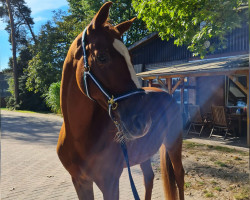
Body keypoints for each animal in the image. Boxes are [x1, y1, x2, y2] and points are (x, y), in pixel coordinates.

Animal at [57, 1, 185, 200]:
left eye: (130, 58)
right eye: (102, 57)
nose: (141, 121)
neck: (79, 137)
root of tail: (167, 94)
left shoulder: (110, 184)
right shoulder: (80, 182)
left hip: (174, 144)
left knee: (179, 177)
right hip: (145, 152)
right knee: (149, 177)